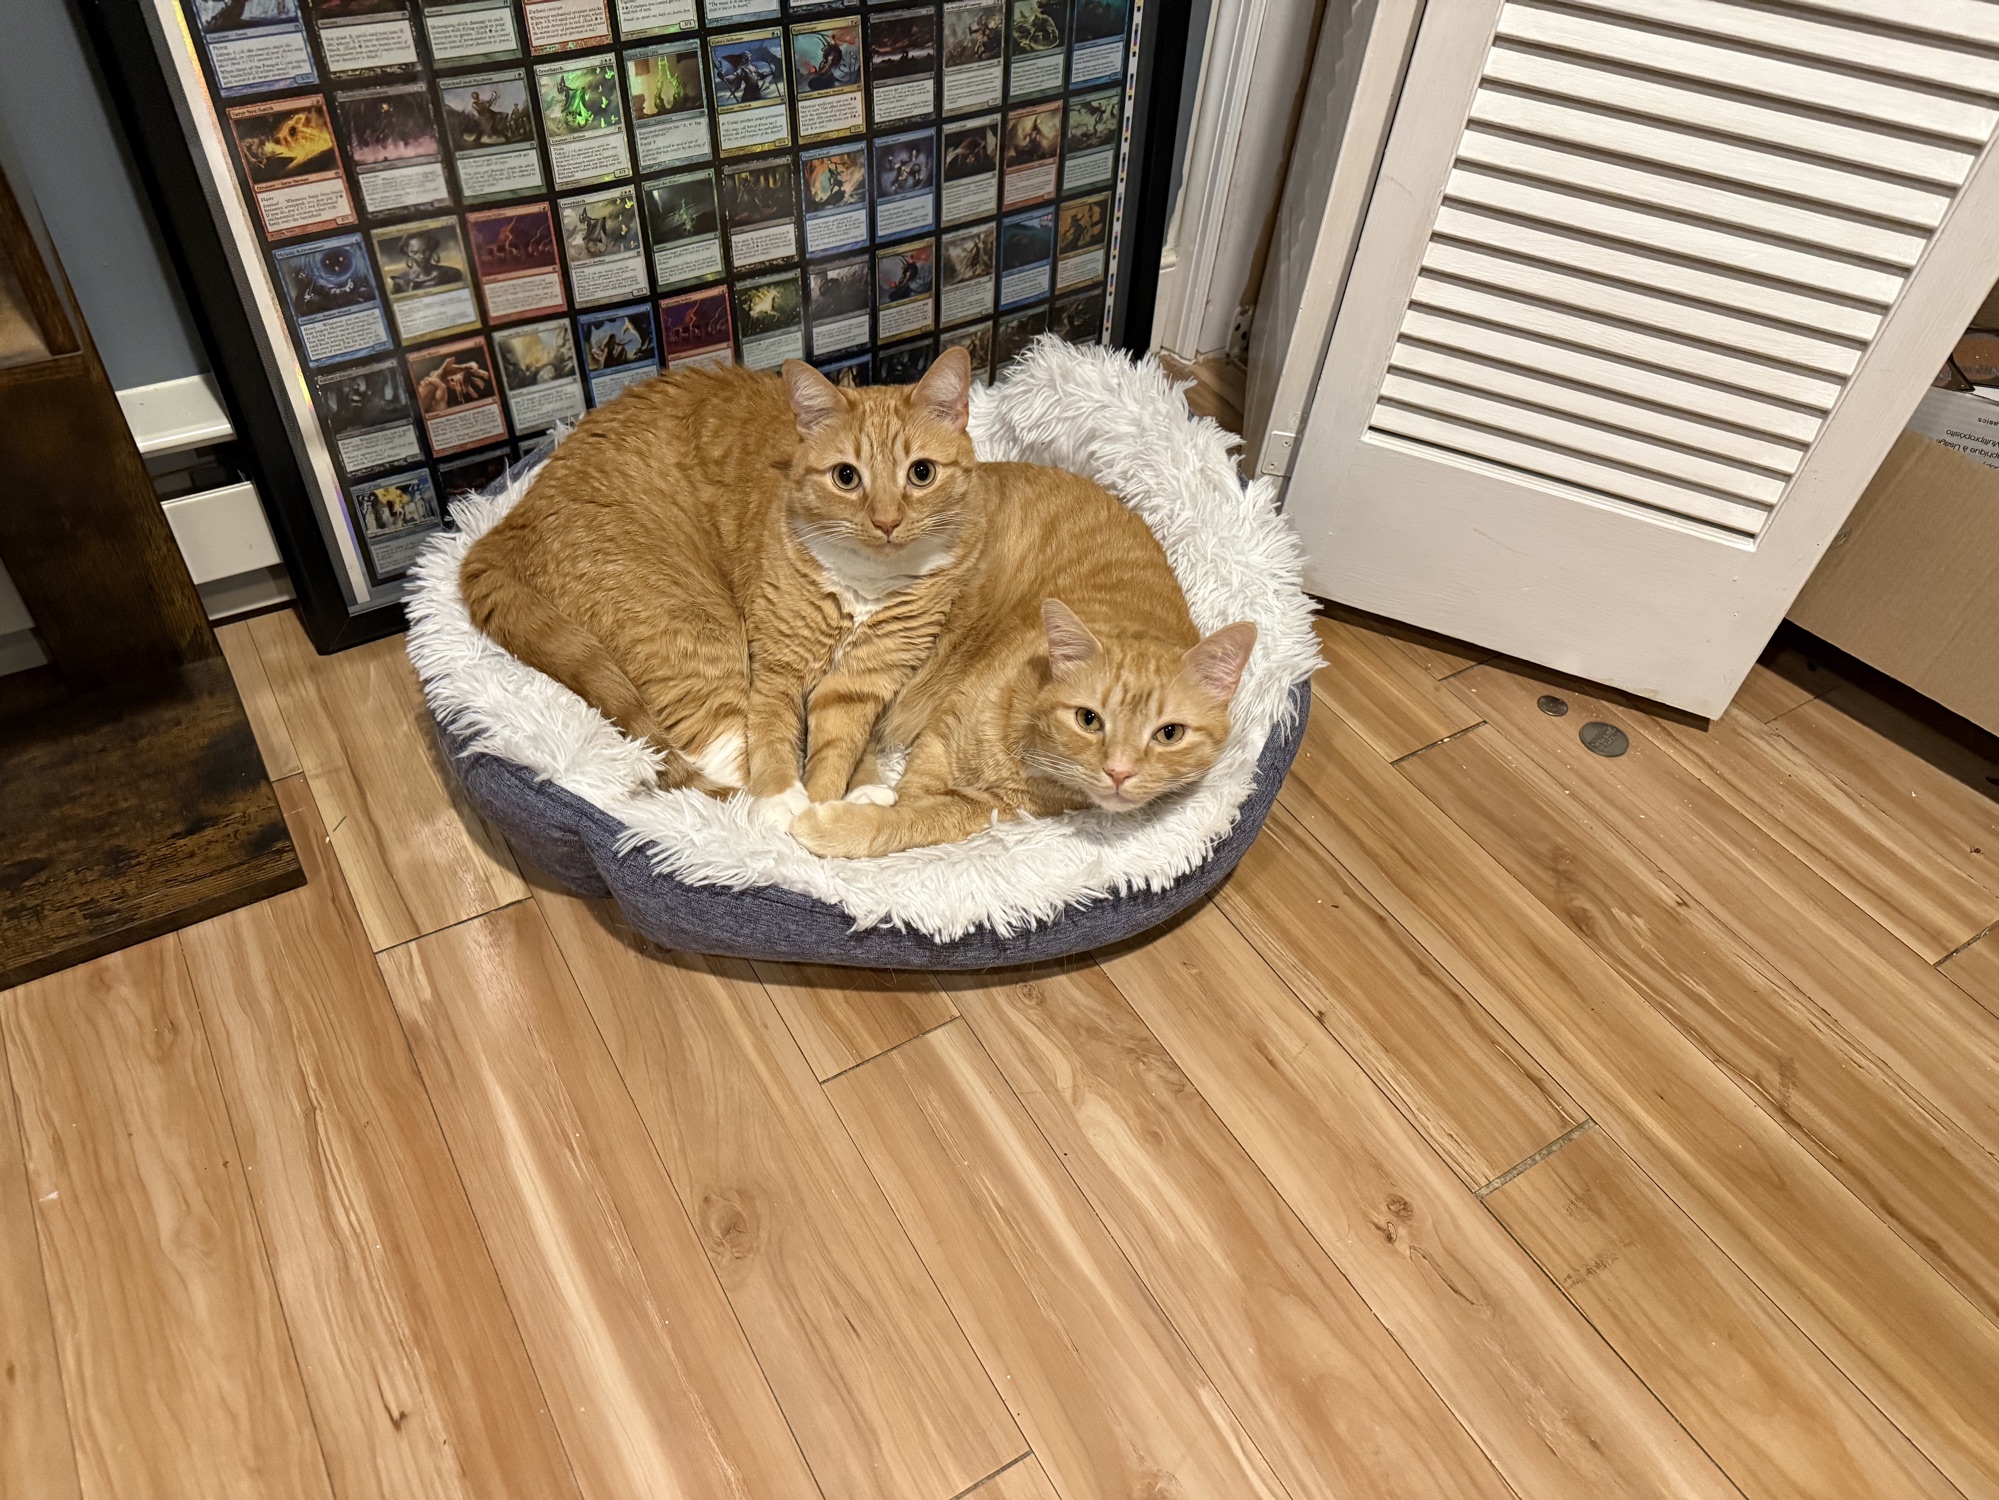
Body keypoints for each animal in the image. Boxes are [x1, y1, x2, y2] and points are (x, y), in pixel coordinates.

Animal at [459, 348, 982, 823]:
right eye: (846, 477)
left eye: (921, 473)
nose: (886, 521)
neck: (866, 583)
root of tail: (507, 525)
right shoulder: (776, 666)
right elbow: (770, 734)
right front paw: (790, 804)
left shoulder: (864, 678)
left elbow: (840, 744)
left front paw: (846, 795)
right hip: (701, 630)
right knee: (716, 772)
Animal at [791, 462, 1256, 857]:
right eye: (1089, 720)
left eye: (1169, 734)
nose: (1119, 772)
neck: (1028, 751)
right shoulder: (941, 739)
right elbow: (910, 799)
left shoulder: (994, 809)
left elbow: (922, 818)